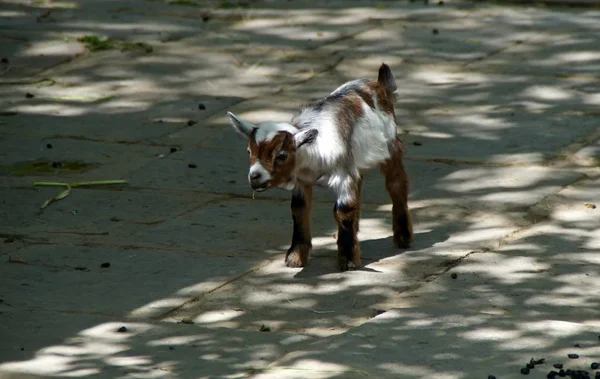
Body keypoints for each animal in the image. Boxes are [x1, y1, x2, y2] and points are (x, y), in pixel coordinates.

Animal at [226, 63, 412, 272]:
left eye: (282, 155)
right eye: (249, 151)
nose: (255, 176)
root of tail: (378, 85)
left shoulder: (342, 176)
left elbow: (343, 209)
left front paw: (347, 261)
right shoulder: (302, 181)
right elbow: (299, 209)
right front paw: (296, 257)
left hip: (391, 145)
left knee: (396, 183)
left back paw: (403, 237)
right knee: (359, 186)